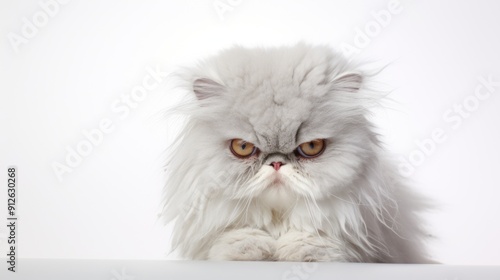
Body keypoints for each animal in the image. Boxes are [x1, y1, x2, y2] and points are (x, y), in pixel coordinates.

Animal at [161, 42, 434, 262]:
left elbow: (315, 236)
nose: (276, 163)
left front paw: (300, 251)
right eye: (243, 147)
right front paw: (249, 249)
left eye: (311, 147)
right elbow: (237, 234)